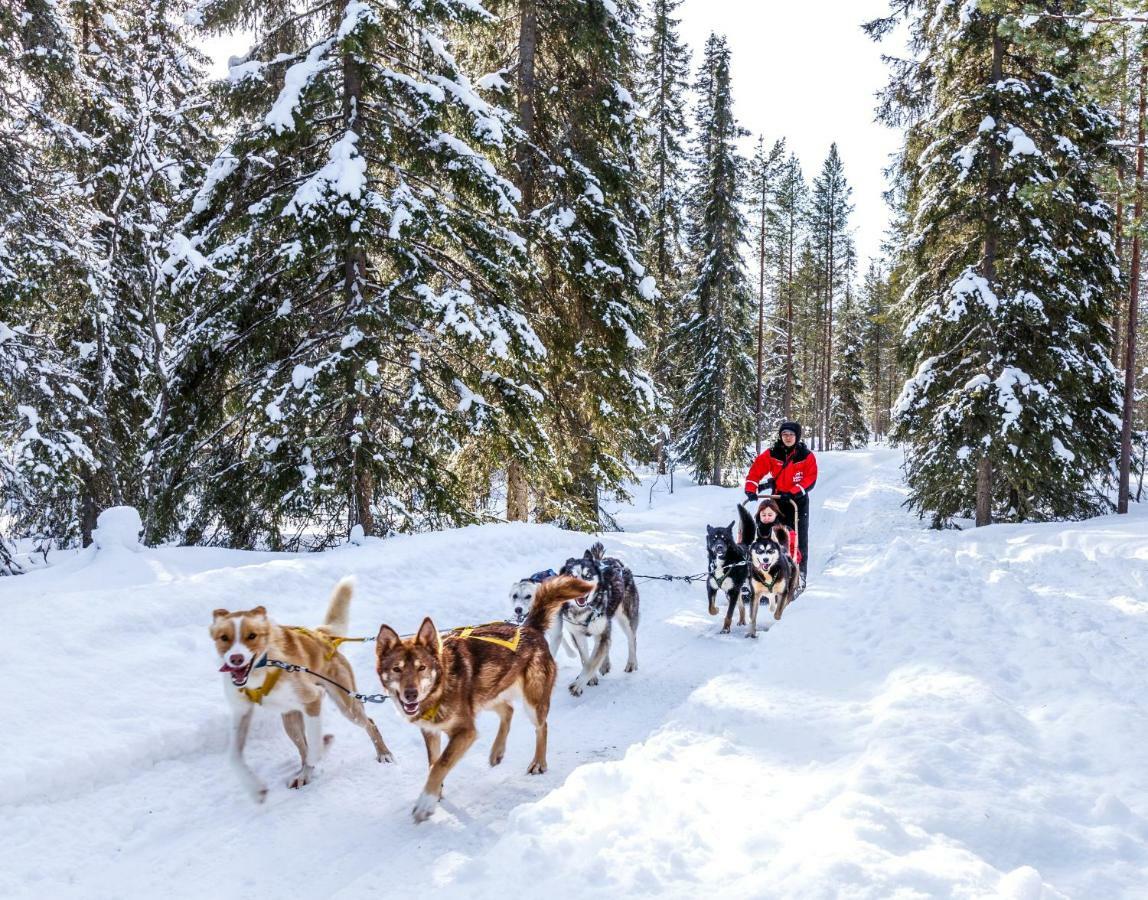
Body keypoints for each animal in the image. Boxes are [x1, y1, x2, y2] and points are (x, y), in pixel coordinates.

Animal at [211, 580, 394, 803]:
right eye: (224, 638)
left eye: (251, 636)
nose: (236, 658)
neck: (261, 671)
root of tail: (323, 636)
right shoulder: (242, 713)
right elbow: (234, 756)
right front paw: (256, 789)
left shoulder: (314, 699)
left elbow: (315, 746)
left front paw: (323, 747)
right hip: (290, 720)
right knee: (303, 748)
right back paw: (304, 775)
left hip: (347, 706)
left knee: (370, 723)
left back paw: (383, 753)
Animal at [376, 576, 592, 821]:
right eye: (397, 669)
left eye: (421, 667)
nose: (410, 694)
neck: (440, 686)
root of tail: (529, 628)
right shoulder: (431, 732)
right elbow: (433, 764)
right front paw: (435, 792)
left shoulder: (465, 732)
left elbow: (440, 764)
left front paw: (426, 802)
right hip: (487, 694)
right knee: (508, 710)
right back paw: (497, 752)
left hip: (532, 702)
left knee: (541, 727)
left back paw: (538, 763)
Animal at [557, 541, 642, 697]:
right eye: (572, 576)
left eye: (588, 576)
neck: (583, 611)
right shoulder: (577, 635)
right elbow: (586, 659)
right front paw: (591, 678)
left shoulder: (602, 630)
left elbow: (592, 662)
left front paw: (578, 685)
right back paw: (605, 665)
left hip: (626, 618)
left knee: (631, 639)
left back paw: (631, 663)